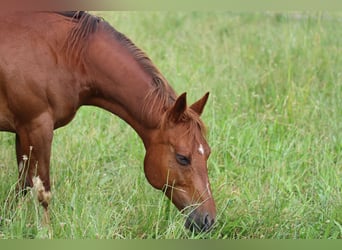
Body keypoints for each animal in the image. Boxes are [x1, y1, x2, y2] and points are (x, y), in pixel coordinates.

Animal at [0, 11, 215, 230]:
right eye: (182, 158)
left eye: (207, 152)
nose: (209, 220)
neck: (68, 56)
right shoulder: (37, 128)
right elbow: (42, 191)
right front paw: (46, 231)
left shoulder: (23, 131)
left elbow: (23, 184)